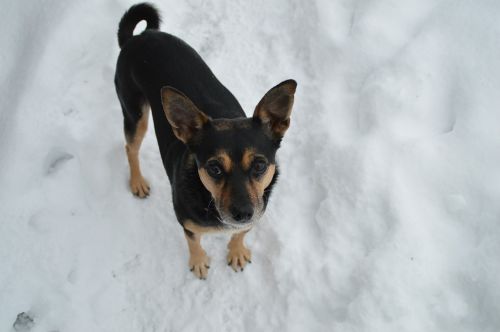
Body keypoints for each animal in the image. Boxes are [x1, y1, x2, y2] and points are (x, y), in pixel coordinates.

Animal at [114, 2, 296, 278]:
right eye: (214, 168)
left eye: (260, 166)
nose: (243, 213)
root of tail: (138, 37)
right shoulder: (186, 222)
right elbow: (193, 241)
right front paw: (198, 262)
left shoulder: (257, 210)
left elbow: (241, 233)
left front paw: (236, 251)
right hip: (134, 112)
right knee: (130, 147)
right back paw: (137, 182)